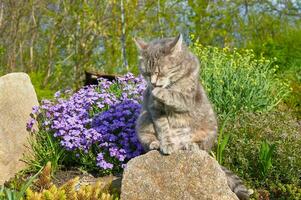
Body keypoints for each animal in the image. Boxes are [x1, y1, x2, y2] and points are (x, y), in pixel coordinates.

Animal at [134, 33, 251, 199]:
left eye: (160, 72)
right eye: (146, 73)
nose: (153, 83)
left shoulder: (188, 99)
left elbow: (175, 95)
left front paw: (161, 91)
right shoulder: (155, 109)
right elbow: (163, 128)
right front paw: (166, 143)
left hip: (210, 131)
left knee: (202, 148)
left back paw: (190, 145)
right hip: (142, 122)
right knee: (148, 140)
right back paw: (156, 143)